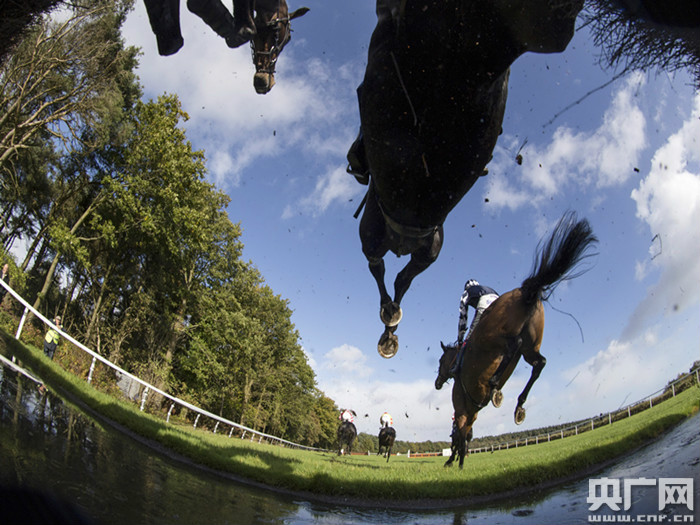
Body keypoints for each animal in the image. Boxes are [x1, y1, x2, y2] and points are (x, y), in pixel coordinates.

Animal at [432, 212, 596, 466]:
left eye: (440, 362)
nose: (437, 383)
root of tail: (526, 292)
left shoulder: (461, 409)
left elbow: (460, 436)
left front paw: (452, 462)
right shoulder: (472, 413)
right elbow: (463, 436)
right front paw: (457, 462)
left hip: (493, 338)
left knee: (514, 346)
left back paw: (495, 387)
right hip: (531, 345)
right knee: (539, 363)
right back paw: (518, 405)